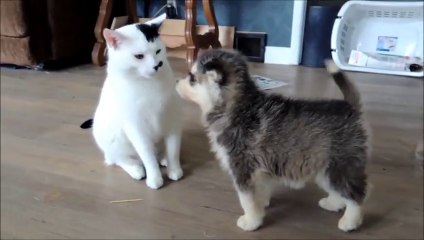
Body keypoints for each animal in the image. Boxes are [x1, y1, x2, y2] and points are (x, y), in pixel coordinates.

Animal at [85, 14, 183, 189]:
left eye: (158, 51)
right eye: (139, 56)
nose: (157, 65)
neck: (148, 85)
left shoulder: (173, 119)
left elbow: (173, 150)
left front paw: (175, 170)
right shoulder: (136, 128)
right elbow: (147, 155)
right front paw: (154, 178)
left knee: (159, 152)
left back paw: (162, 157)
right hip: (111, 141)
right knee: (118, 159)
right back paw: (135, 169)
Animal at [175, 49, 368, 232]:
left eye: (192, 78)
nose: (176, 81)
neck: (236, 106)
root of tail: (349, 107)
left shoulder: (242, 169)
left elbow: (246, 200)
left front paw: (251, 221)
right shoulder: (260, 170)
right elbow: (260, 192)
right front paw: (260, 207)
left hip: (340, 165)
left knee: (355, 195)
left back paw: (350, 221)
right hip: (323, 167)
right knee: (339, 190)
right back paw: (333, 204)